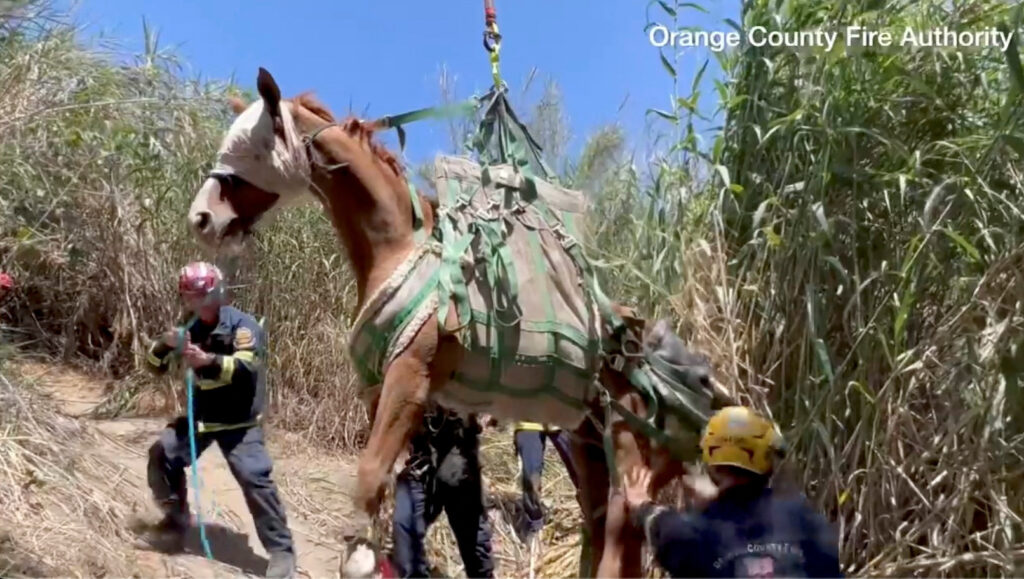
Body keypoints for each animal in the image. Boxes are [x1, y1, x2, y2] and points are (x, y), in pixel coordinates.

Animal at [184, 67, 728, 577]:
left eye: (251, 146)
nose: (200, 219)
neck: (398, 248)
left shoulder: (410, 377)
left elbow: (370, 473)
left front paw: (357, 558)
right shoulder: (379, 389)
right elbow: (386, 479)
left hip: (634, 445)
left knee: (624, 523)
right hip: (589, 438)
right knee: (601, 520)